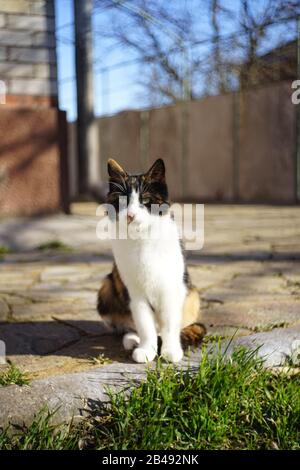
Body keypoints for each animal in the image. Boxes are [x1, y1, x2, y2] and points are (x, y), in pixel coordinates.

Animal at [97, 158, 205, 364]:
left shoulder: (172, 287)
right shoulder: (134, 291)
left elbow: (170, 322)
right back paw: (132, 339)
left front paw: (171, 351)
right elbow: (144, 323)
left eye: (145, 200)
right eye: (122, 201)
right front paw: (147, 349)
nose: (130, 215)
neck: (141, 239)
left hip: (192, 292)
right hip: (107, 286)